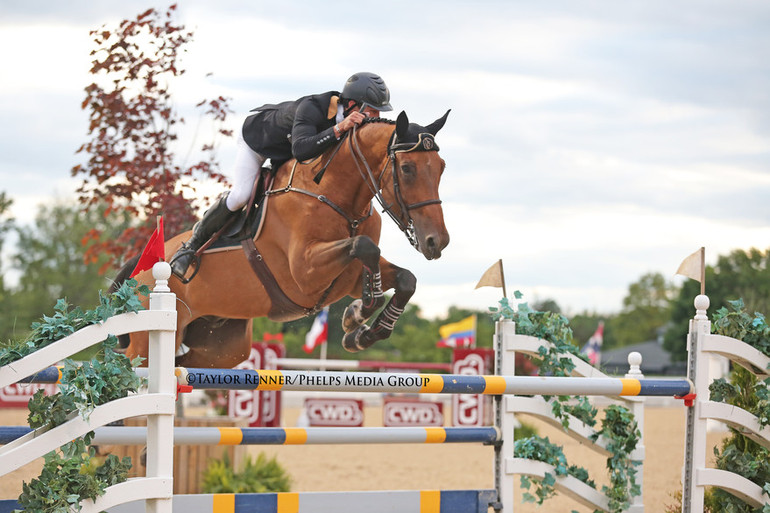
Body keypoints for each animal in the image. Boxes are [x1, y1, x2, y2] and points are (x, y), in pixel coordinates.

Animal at [114, 111, 450, 368]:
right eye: (406, 168)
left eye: (441, 168)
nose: (437, 242)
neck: (337, 196)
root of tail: (138, 269)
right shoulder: (306, 273)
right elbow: (364, 247)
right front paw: (361, 312)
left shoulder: (347, 277)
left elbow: (404, 279)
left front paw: (360, 329)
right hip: (147, 342)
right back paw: (182, 259)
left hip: (223, 348)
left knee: (182, 366)